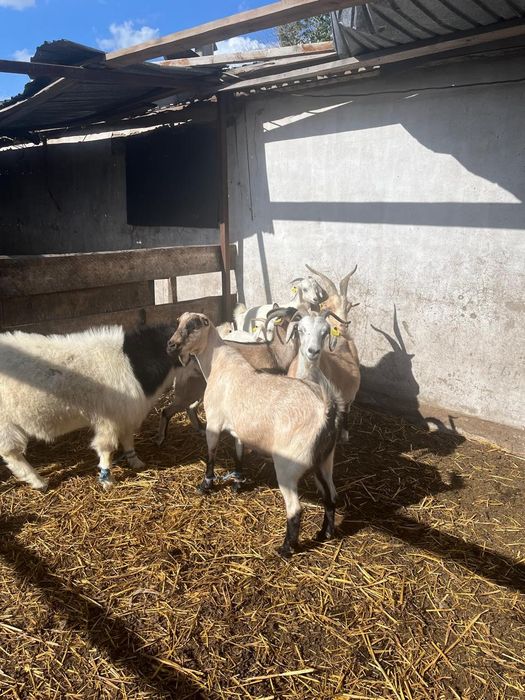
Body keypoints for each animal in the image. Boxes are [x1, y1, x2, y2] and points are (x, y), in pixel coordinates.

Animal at [0, 325, 179, 491]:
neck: (134, 362)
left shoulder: (125, 414)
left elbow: (128, 439)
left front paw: (135, 461)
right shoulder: (109, 420)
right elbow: (107, 449)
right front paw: (107, 480)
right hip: (5, 422)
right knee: (11, 452)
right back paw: (38, 482)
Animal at [167, 312, 344, 559]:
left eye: (192, 326)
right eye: (178, 323)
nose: (170, 345)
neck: (216, 364)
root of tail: (326, 410)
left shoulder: (213, 421)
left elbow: (210, 454)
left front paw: (205, 485)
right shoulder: (240, 428)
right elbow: (238, 452)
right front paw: (237, 482)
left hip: (288, 466)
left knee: (295, 509)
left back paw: (285, 549)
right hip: (325, 460)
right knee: (331, 495)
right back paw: (324, 533)